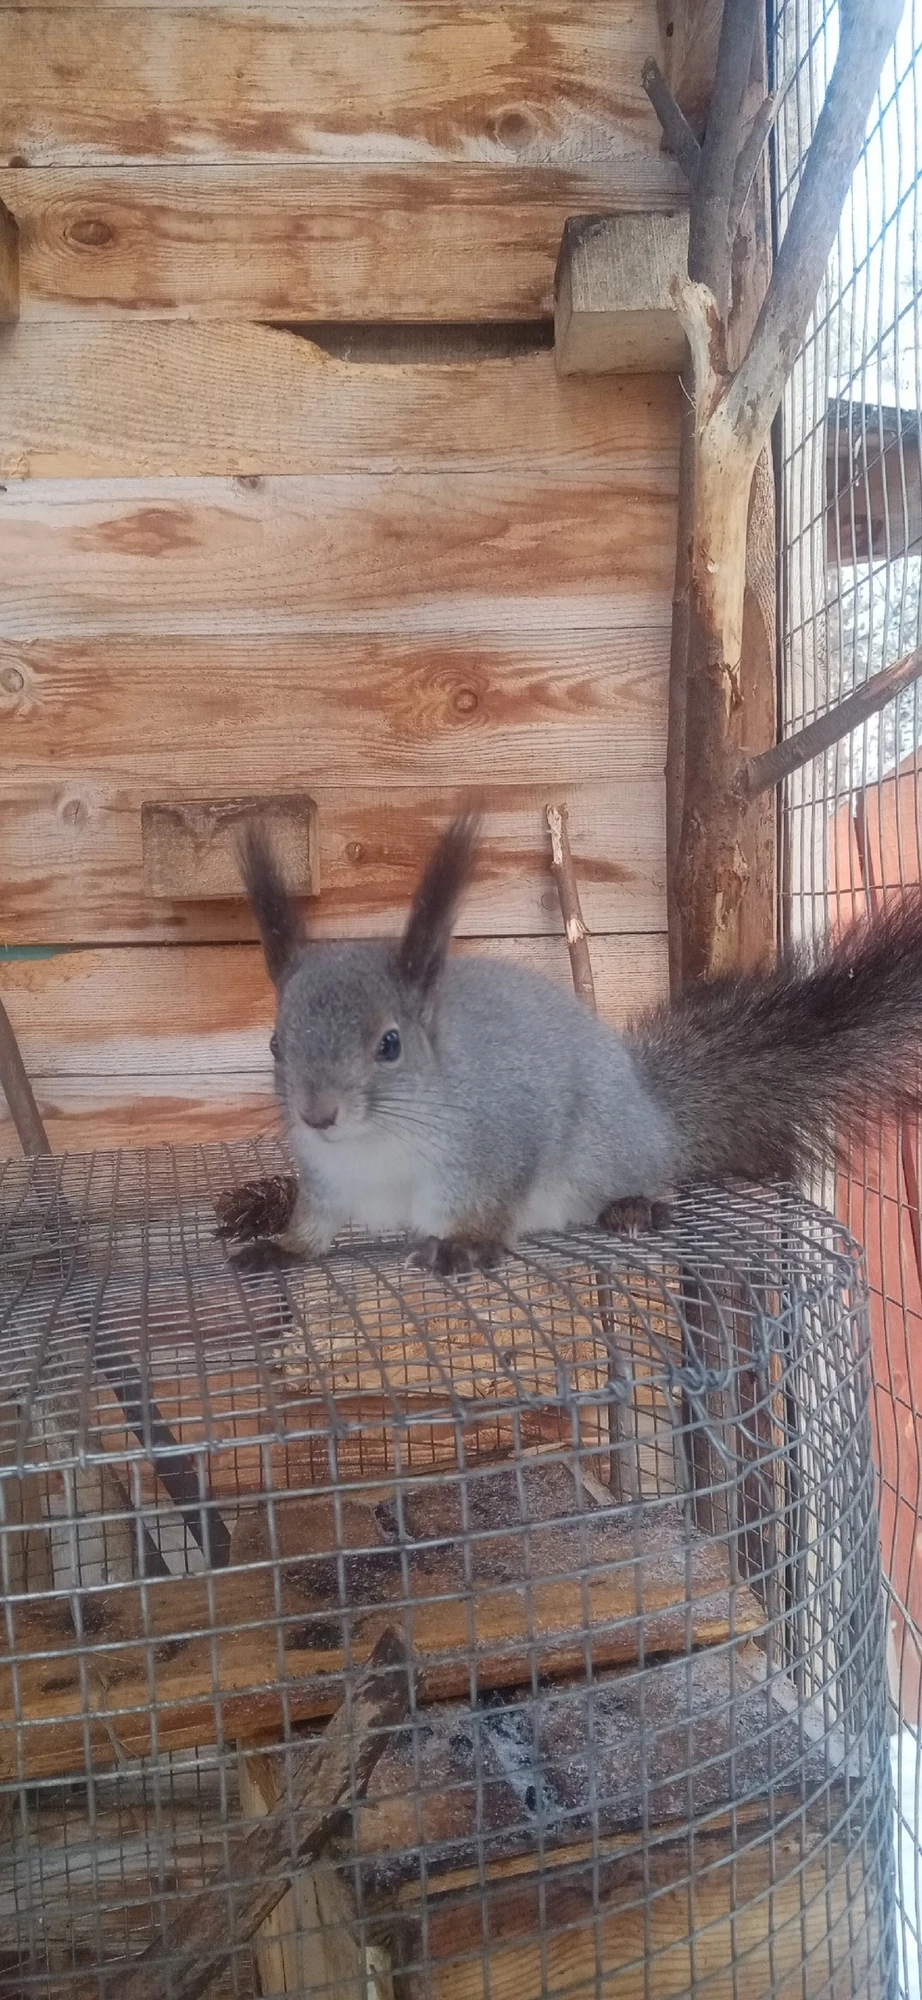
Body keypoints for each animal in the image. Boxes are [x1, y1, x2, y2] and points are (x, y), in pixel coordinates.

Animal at [240, 809, 922, 1275]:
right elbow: (313, 1223)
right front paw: (281, 1246)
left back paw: (633, 1206)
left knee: (651, 1176)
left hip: (608, 1150)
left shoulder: (497, 1140)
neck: (378, 1142)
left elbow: (492, 1199)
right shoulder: (325, 1178)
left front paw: (466, 1244)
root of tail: (653, 1107)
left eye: (390, 1044)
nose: (317, 1115)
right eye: (274, 1045)